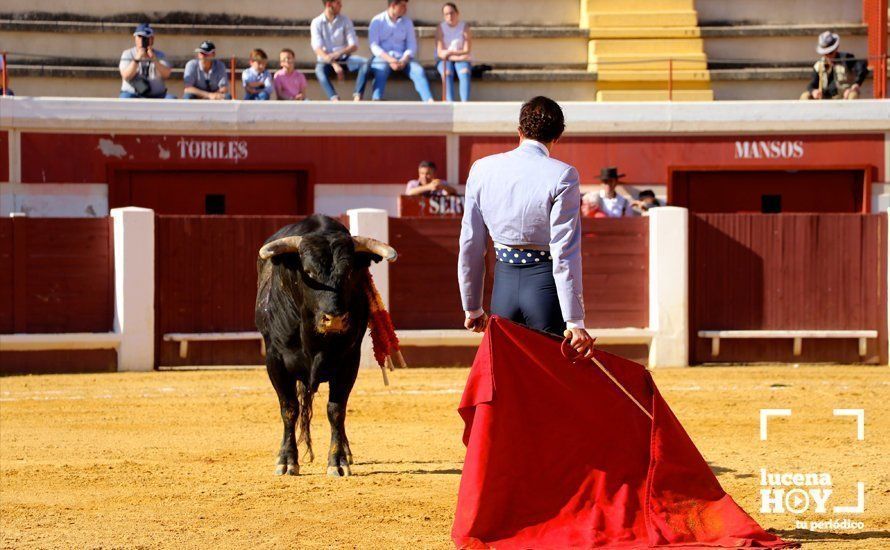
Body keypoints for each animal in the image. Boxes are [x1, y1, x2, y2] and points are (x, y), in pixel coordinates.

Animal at [255, 216, 398, 478]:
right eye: (308, 272)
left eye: (350, 272)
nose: (335, 319)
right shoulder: (275, 359)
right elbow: (289, 408)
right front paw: (287, 461)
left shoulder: (349, 360)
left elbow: (336, 409)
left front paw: (338, 461)